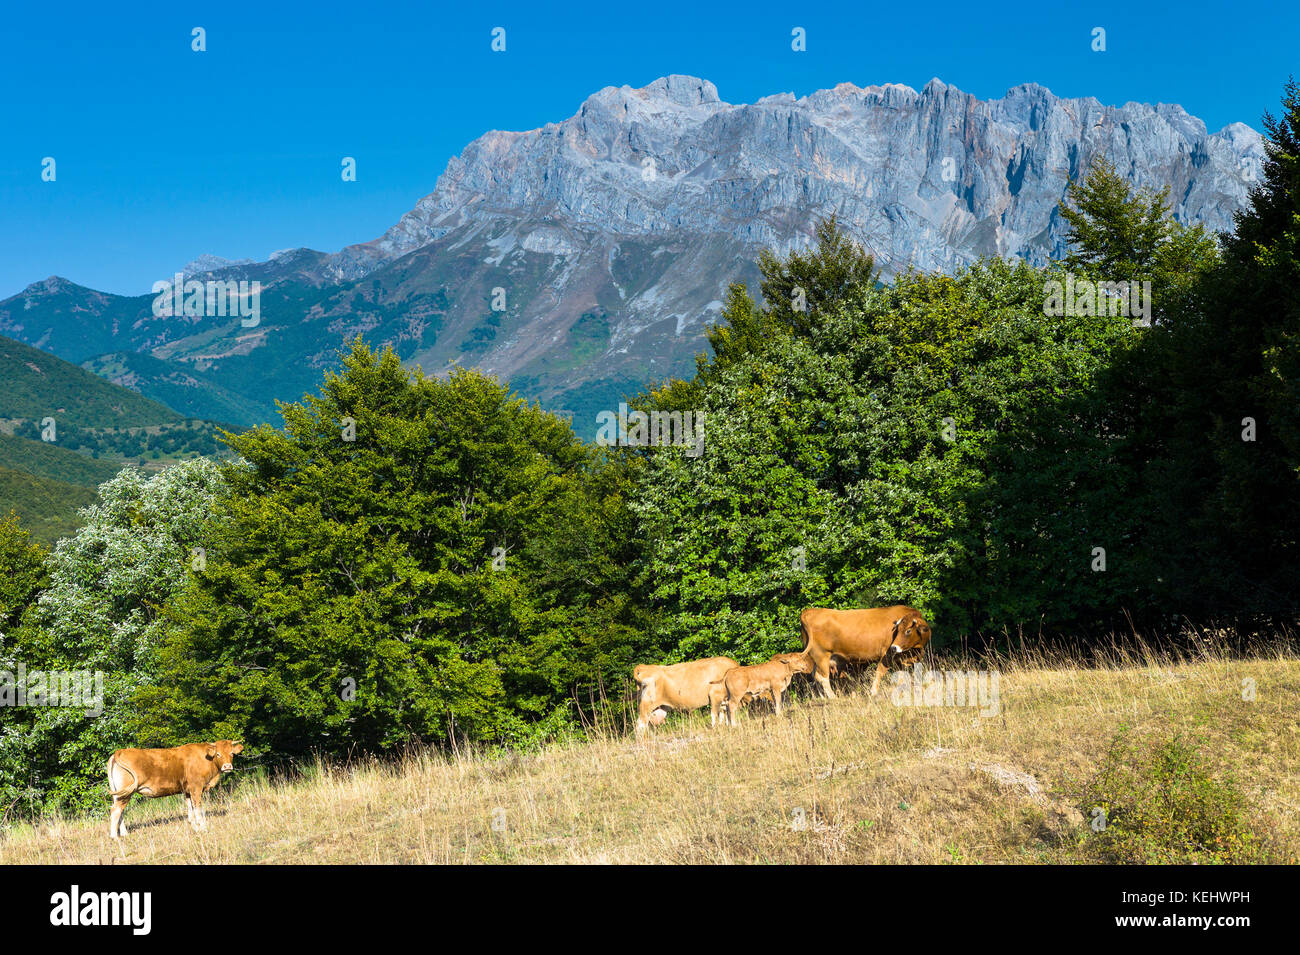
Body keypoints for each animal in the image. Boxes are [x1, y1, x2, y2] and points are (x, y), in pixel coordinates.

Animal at [106, 738, 244, 836]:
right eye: (218, 754)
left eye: (231, 753)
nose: (227, 766)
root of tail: (119, 752)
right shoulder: (196, 787)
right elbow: (198, 809)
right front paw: (203, 828)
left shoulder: (187, 790)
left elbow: (190, 810)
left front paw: (194, 827)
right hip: (126, 792)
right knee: (115, 810)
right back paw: (115, 837)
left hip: (120, 793)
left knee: (120, 811)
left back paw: (124, 834)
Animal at [795, 608, 930, 696]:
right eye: (898, 629)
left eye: (908, 631)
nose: (894, 648)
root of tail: (810, 611)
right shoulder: (887, 656)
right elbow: (880, 672)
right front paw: (873, 692)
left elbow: (901, 676)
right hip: (821, 656)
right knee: (822, 677)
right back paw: (833, 698)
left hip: (816, 658)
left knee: (815, 676)